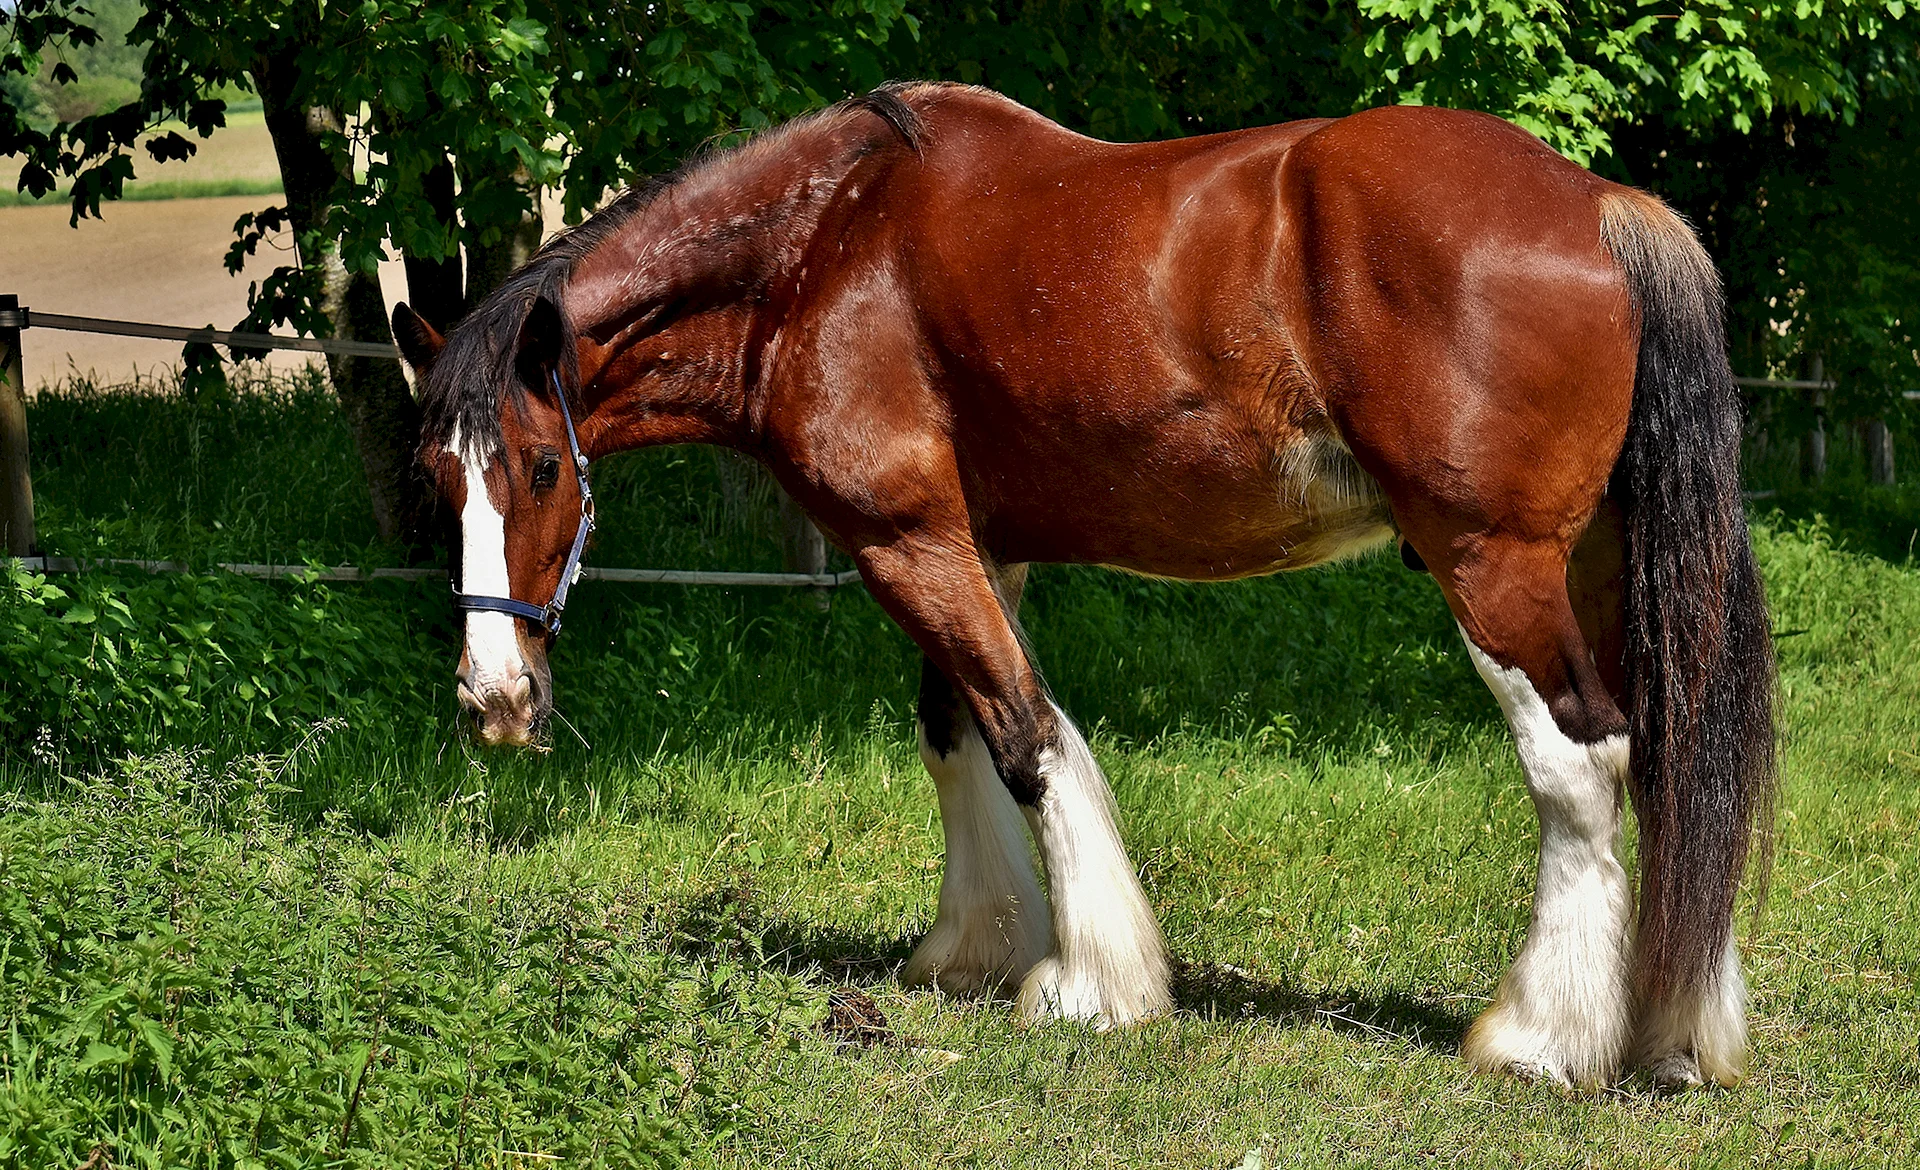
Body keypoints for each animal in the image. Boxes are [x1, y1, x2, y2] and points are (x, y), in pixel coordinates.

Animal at [397, 84, 1774, 1091]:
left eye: (537, 468)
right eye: (435, 476)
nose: (494, 699)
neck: (821, 252)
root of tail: (1599, 204)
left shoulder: (905, 539)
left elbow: (1024, 738)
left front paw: (1089, 985)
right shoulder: (966, 543)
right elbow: (952, 729)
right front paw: (971, 946)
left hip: (1491, 566)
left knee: (1581, 767)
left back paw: (1545, 1039)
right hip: (1600, 568)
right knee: (1664, 761)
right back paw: (1673, 1032)